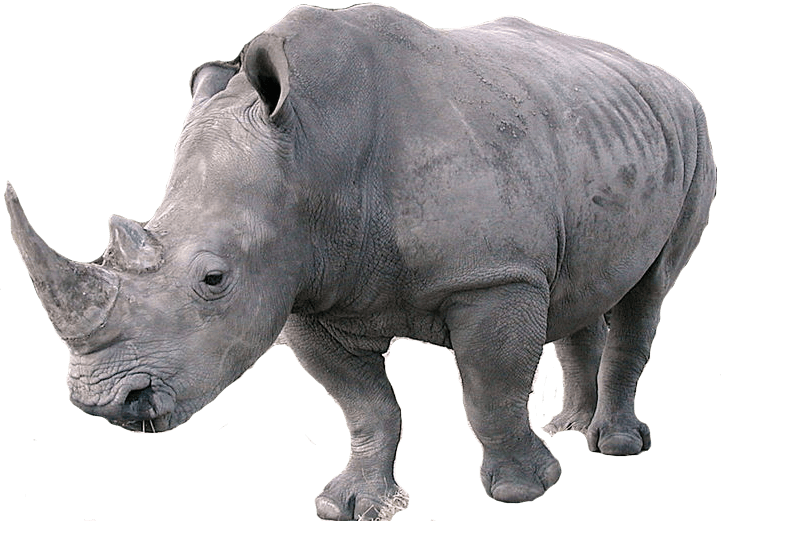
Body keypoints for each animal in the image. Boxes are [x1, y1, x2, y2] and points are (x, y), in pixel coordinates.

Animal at [8, 3, 714, 521]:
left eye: (214, 279)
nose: (104, 403)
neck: (315, 150)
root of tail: (661, 76)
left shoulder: (493, 276)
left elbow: (490, 388)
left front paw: (523, 490)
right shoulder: (303, 286)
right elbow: (364, 404)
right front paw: (351, 503)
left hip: (692, 132)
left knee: (648, 291)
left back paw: (615, 445)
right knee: (582, 287)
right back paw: (570, 426)